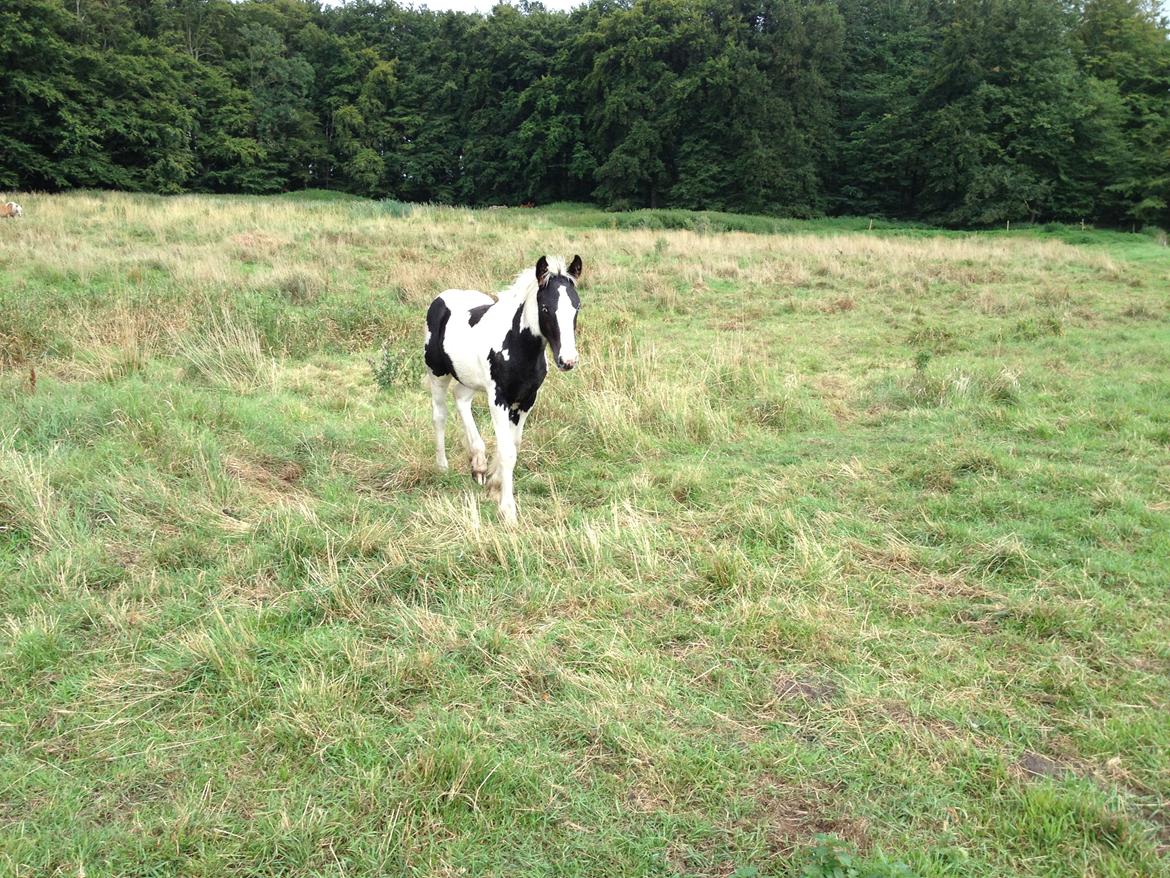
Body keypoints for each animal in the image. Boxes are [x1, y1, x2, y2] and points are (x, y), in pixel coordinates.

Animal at [423, 254, 582, 526]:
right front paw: (508, 510)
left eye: (577, 306)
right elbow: (508, 451)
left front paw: (494, 483)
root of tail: (443, 297)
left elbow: (513, 444)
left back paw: (478, 463)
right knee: (439, 415)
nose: (568, 360)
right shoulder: (498, 399)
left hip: (470, 378)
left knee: (461, 400)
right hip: (438, 373)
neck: (517, 346)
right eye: (545, 308)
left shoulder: (527, 400)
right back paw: (442, 466)